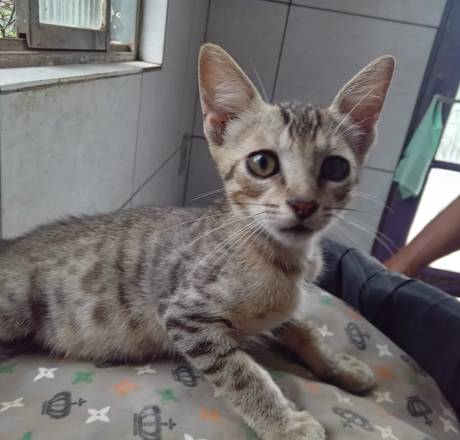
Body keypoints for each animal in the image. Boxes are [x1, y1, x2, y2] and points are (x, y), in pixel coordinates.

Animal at [0, 44, 394, 439]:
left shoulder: (279, 313)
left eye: (336, 168)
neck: (280, 256)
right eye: (262, 163)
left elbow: (303, 328)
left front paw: (339, 365)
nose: (303, 204)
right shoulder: (186, 314)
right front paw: (285, 424)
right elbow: (242, 373)